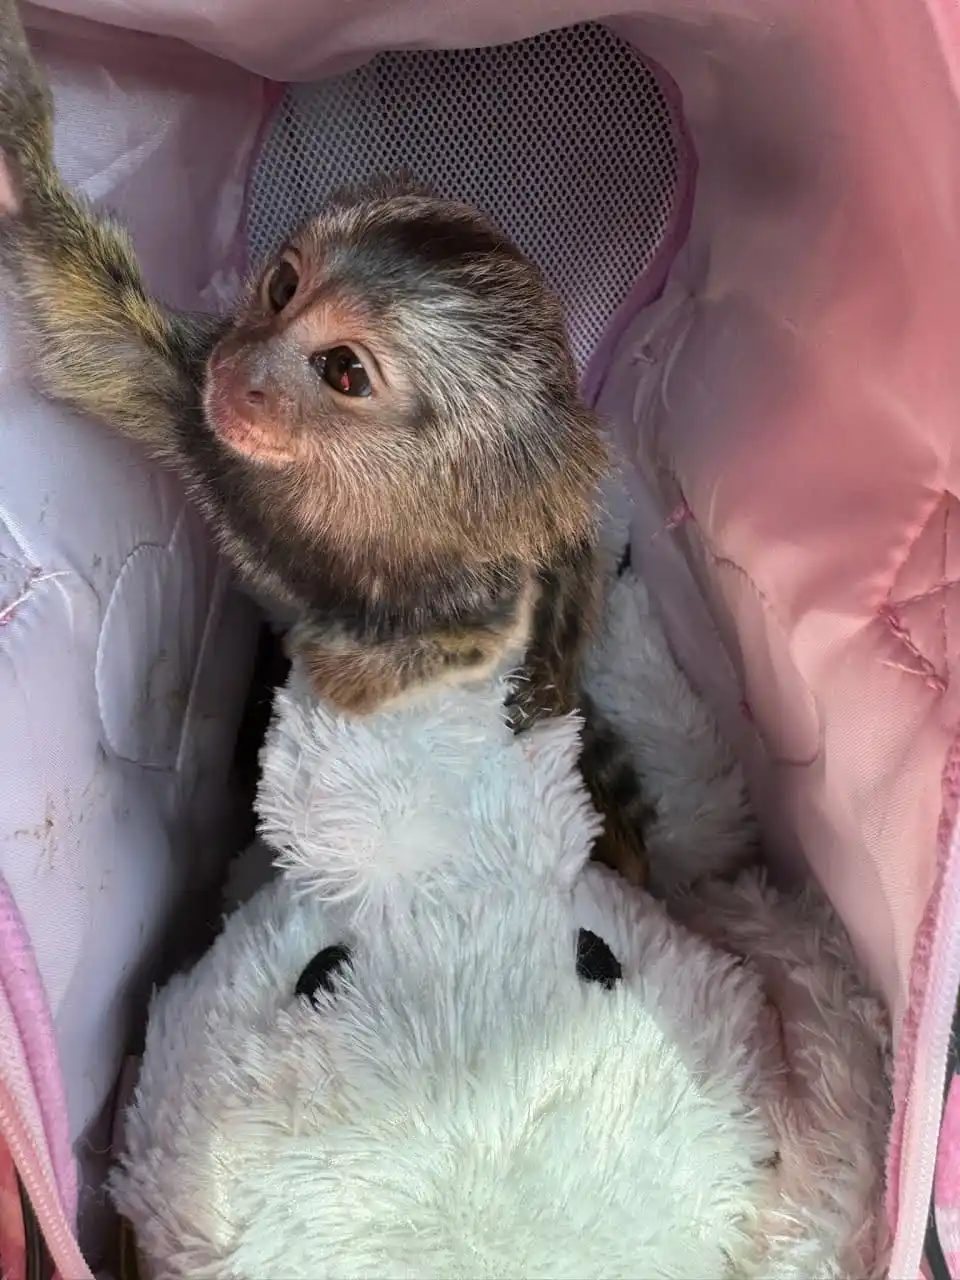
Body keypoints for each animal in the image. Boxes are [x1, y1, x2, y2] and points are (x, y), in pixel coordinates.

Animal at [0, 0, 652, 885]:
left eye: (343, 371)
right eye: (282, 287)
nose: (240, 368)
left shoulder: (477, 584)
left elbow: (477, 642)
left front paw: (340, 672)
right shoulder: (205, 425)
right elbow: (108, 341)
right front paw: (14, 152)